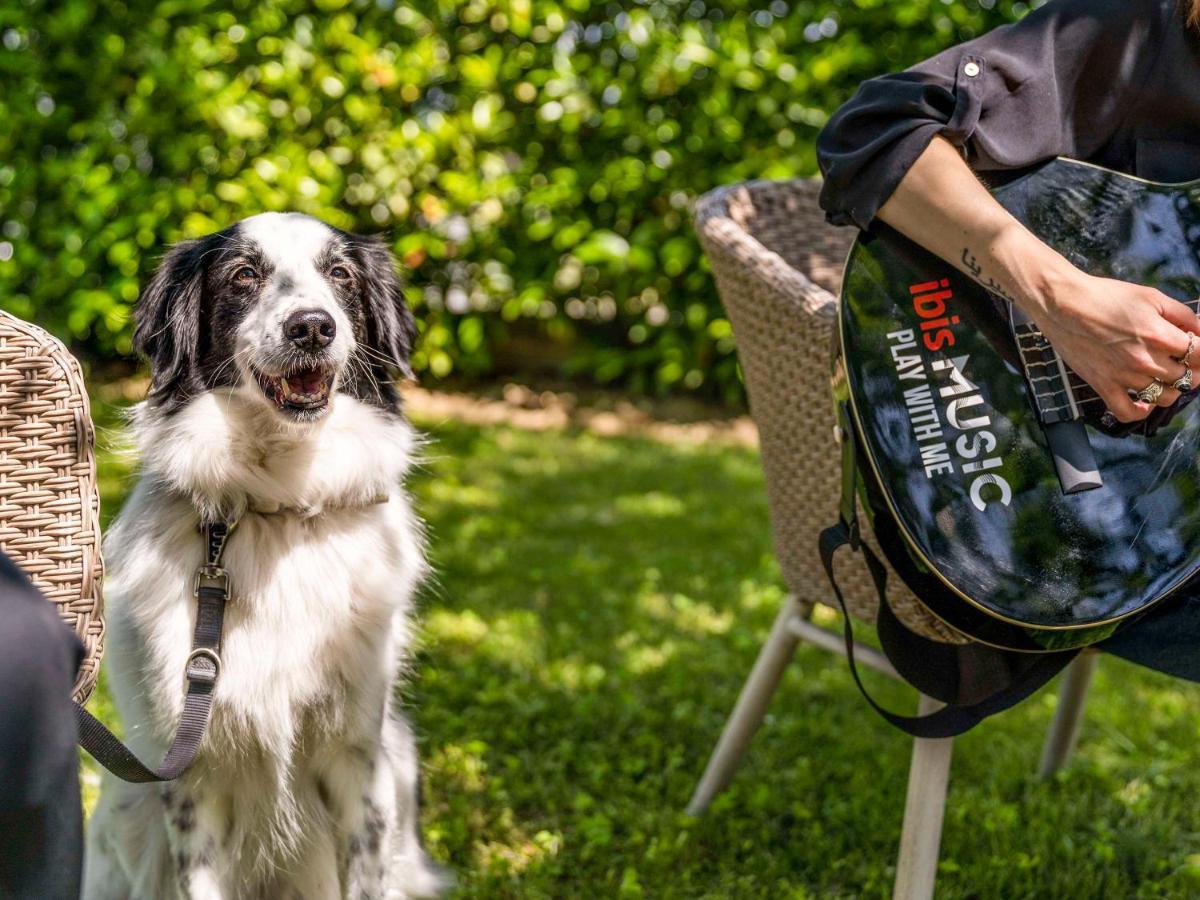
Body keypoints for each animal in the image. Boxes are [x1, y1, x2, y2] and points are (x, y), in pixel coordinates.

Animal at [85, 213, 451, 900]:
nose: (312, 326)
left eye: (341, 275)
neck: (277, 504)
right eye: (243, 275)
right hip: (124, 816)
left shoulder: (359, 764)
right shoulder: (192, 781)